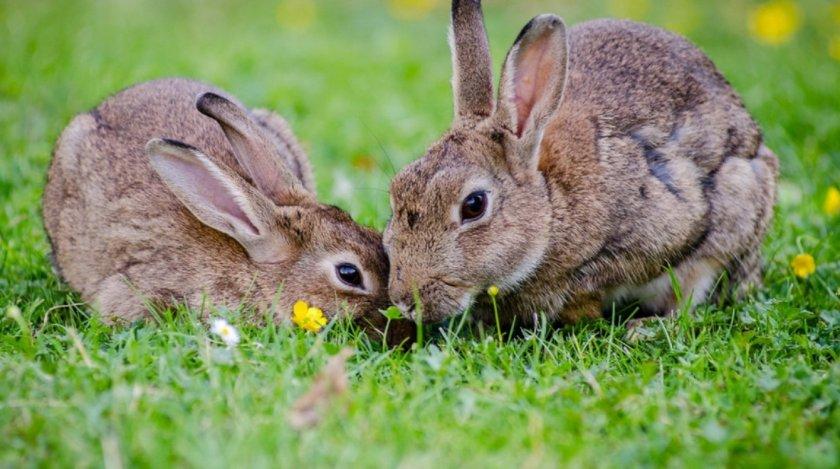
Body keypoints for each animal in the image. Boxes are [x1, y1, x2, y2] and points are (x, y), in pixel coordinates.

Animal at [384, 0, 776, 326]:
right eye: (396, 191)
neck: (550, 205)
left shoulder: (665, 226)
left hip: (737, 205)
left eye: (474, 205)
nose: (405, 301)